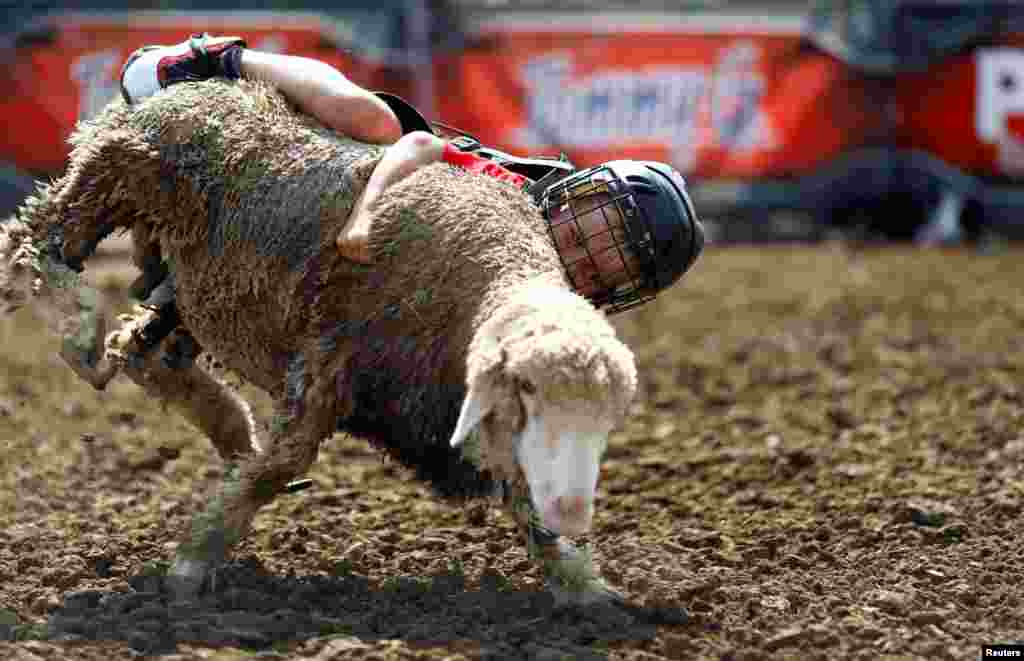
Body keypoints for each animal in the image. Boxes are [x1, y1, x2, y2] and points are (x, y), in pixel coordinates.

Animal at [2, 80, 638, 609]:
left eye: (608, 420)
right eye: (526, 392)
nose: (573, 512)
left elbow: (524, 500)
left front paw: (585, 588)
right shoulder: (328, 359)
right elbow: (278, 466)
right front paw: (192, 565)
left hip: (189, 281)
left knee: (143, 348)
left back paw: (219, 422)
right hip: (114, 173)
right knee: (34, 240)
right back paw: (78, 326)